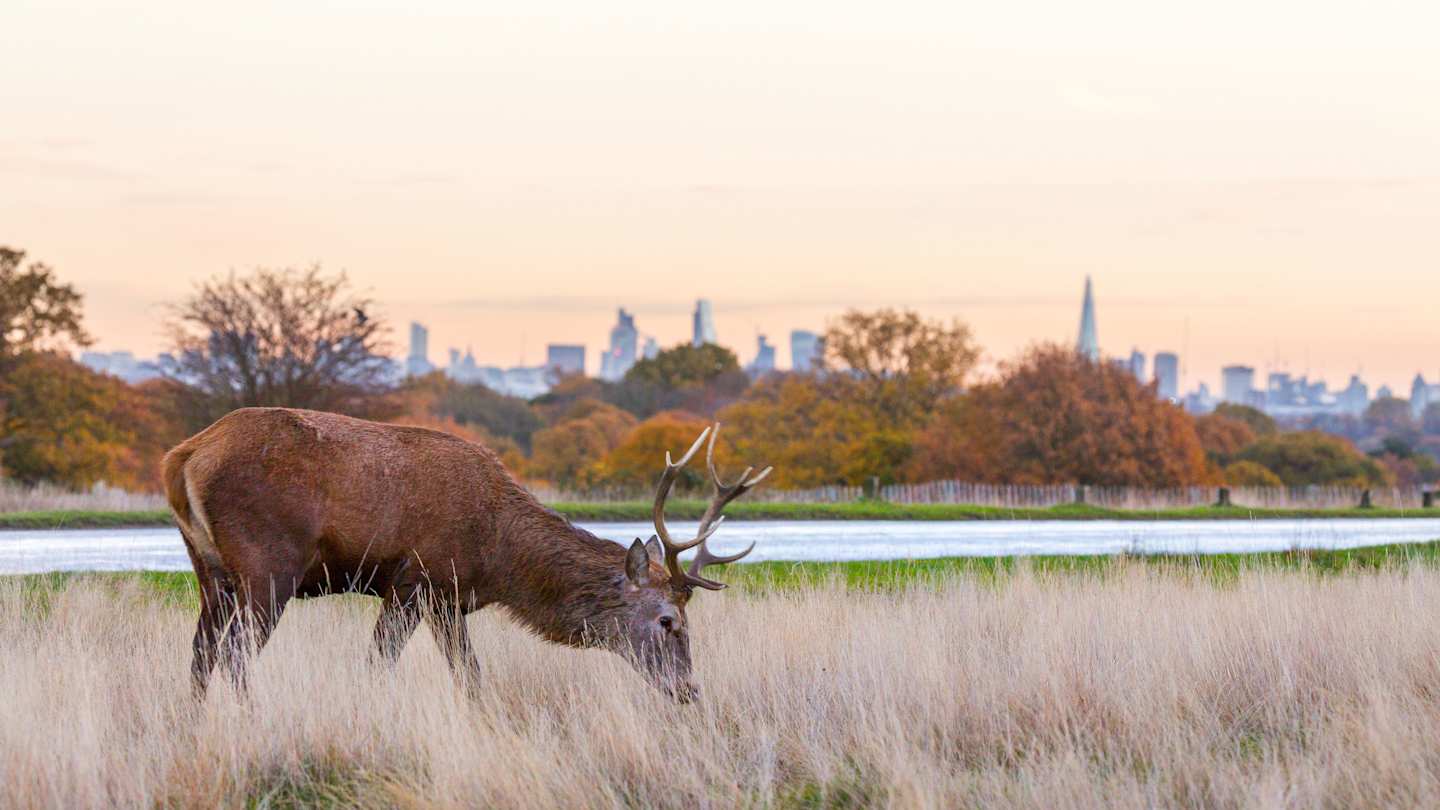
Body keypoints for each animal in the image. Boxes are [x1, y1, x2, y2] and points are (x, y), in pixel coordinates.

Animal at [161, 407, 769, 703]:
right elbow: (382, 665)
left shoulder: (447, 600)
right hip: (268, 565)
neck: (498, 557)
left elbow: (469, 676)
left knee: (199, 653)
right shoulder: (418, 581)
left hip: (208, 571)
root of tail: (183, 456)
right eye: (667, 620)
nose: (689, 691)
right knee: (234, 655)